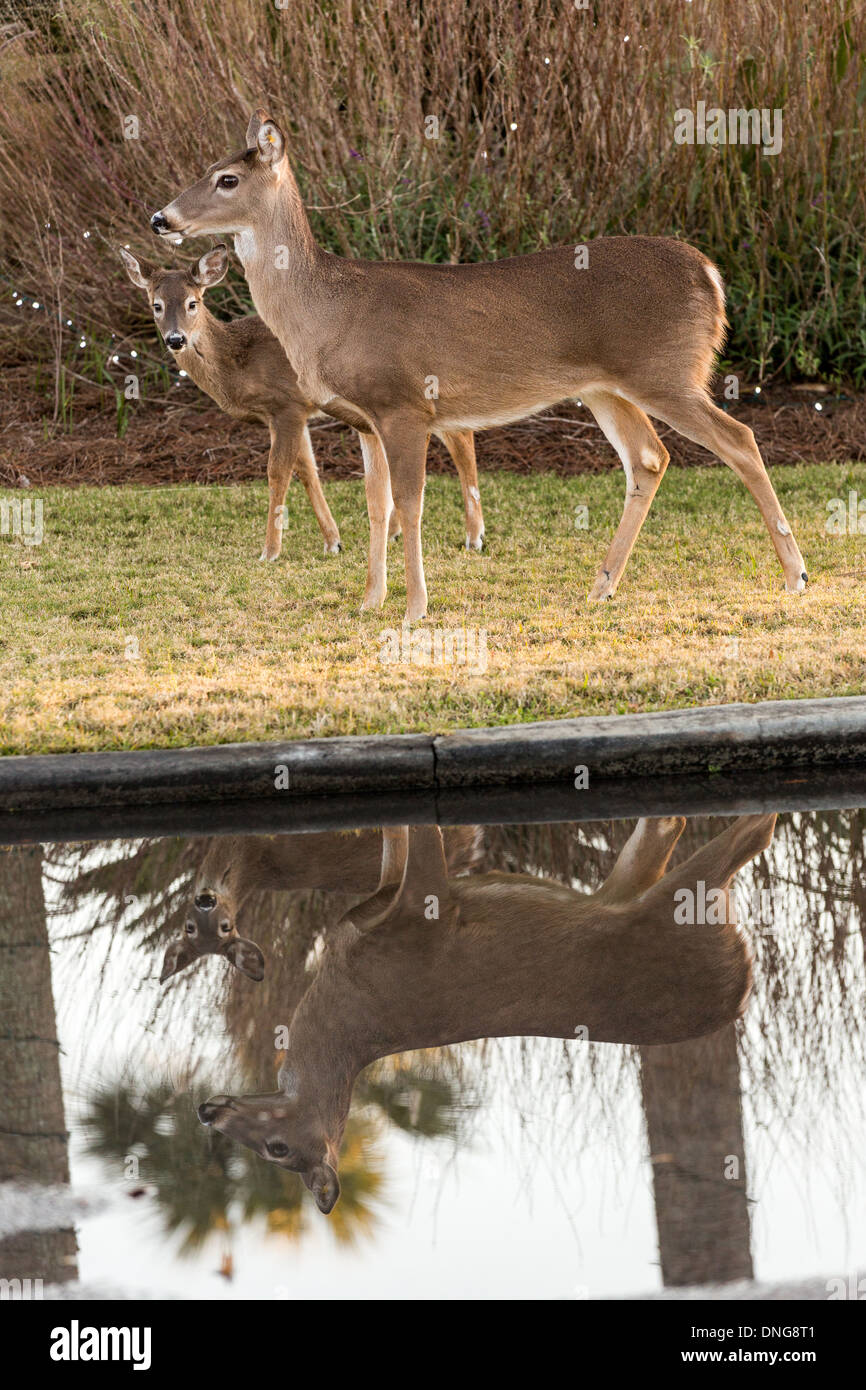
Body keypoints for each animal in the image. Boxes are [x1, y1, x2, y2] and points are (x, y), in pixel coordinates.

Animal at [117, 247, 483, 578]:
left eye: (193, 302)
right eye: (156, 305)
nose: (176, 339)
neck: (238, 363)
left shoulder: (287, 405)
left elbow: (278, 471)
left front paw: (270, 551)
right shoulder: (289, 415)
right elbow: (308, 470)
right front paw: (333, 541)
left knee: (461, 438)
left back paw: (474, 537)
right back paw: (398, 532)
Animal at [200, 811, 778, 1217]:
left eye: (276, 1148)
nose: (208, 1112)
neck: (345, 1015)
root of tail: (741, 985)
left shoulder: (418, 912)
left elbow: (407, 842)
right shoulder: (403, 907)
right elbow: (403, 845)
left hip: (665, 908)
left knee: (743, 832)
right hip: (645, 902)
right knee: (699, 833)